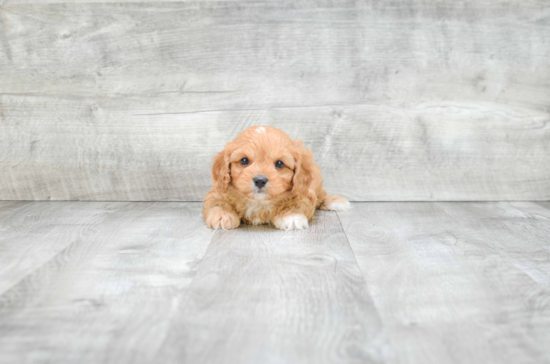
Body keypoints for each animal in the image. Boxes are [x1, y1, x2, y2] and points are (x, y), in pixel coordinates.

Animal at [202, 126, 350, 230]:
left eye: (279, 163)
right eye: (244, 160)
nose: (260, 180)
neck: (259, 202)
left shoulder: (305, 193)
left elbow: (298, 203)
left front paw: (291, 216)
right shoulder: (217, 191)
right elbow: (217, 202)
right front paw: (222, 215)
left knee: (322, 195)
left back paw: (334, 201)